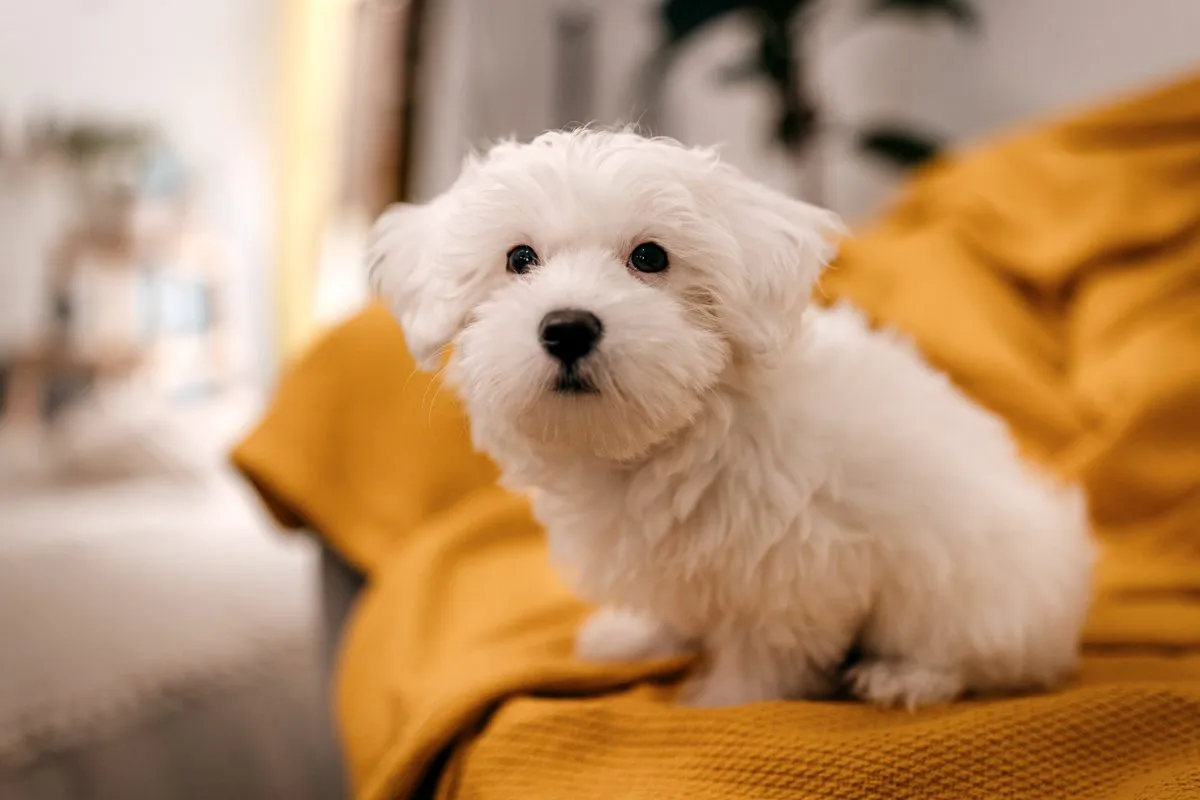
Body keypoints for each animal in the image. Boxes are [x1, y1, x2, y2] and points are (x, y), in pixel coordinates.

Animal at [374, 128, 1099, 710]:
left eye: (650, 257)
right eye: (518, 258)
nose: (568, 326)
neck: (670, 437)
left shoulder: (798, 567)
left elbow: (767, 649)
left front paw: (725, 701)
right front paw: (637, 634)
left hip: (977, 591)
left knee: (977, 655)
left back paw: (903, 677)